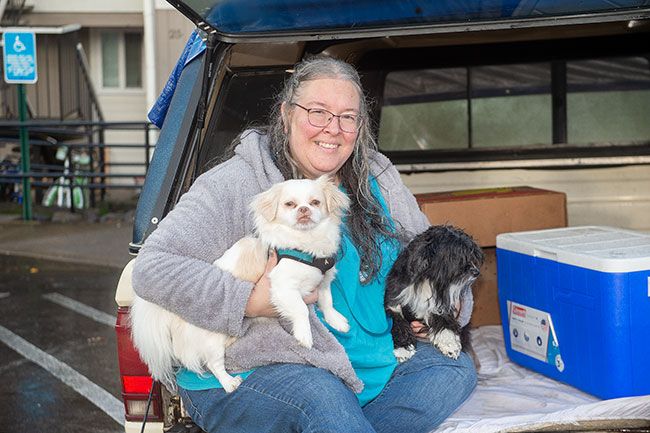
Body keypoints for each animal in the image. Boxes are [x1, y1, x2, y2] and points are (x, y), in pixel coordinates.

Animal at [130, 175, 350, 392]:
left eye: (315, 202)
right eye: (290, 204)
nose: (304, 209)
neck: (306, 244)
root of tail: (176, 319)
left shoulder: (324, 280)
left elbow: (327, 300)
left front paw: (336, 321)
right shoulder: (282, 286)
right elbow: (301, 310)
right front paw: (304, 335)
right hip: (213, 341)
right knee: (214, 364)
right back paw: (229, 383)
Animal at [382, 226, 484, 362]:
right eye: (456, 256)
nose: (476, 272)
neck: (428, 281)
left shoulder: (438, 307)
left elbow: (445, 324)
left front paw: (450, 345)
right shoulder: (393, 305)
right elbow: (398, 324)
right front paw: (403, 349)